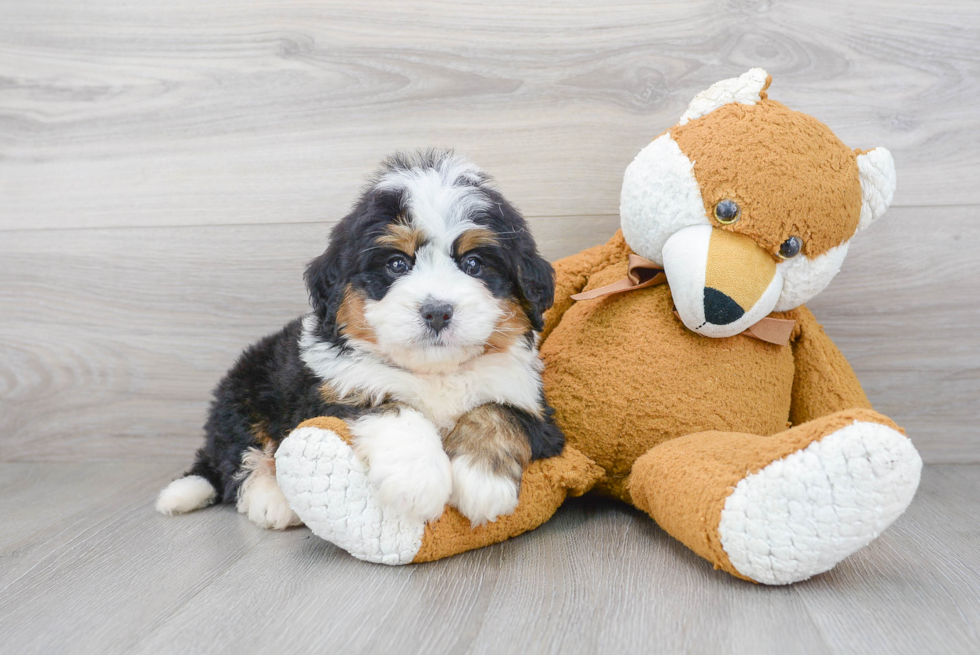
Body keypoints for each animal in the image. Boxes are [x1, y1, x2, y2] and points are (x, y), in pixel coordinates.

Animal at [157, 151, 564, 532]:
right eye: (397, 264)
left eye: (474, 264)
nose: (437, 311)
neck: (433, 373)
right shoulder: (328, 390)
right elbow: (389, 404)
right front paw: (416, 480)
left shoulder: (533, 405)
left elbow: (498, 411)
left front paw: (483, 478)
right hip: (245, 390)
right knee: (239, 458)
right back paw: (269, 499)